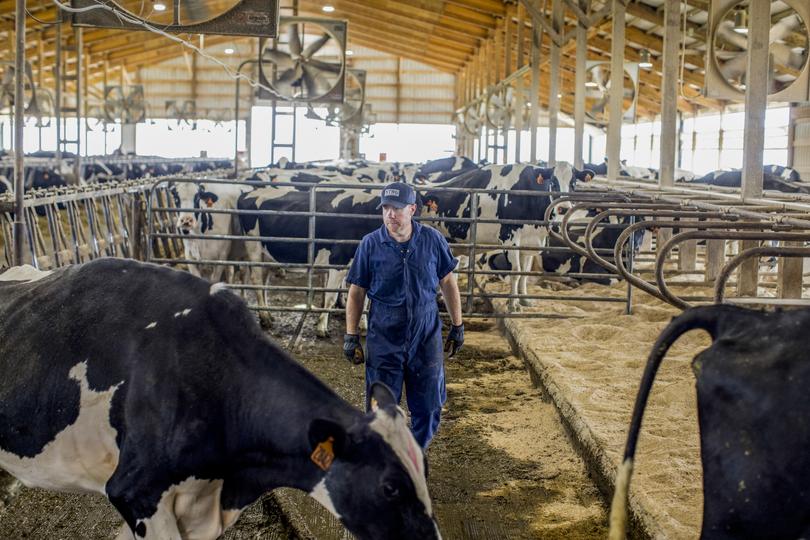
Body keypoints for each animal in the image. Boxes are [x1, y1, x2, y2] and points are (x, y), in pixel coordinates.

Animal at [420, 161, 592, 308]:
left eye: (573, 183)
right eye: (553, 183)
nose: (563, 208)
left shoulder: (529, 244)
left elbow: (524, 273)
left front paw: (524, 300)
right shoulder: (510, 238)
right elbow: (515, 272)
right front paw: (513, 305)